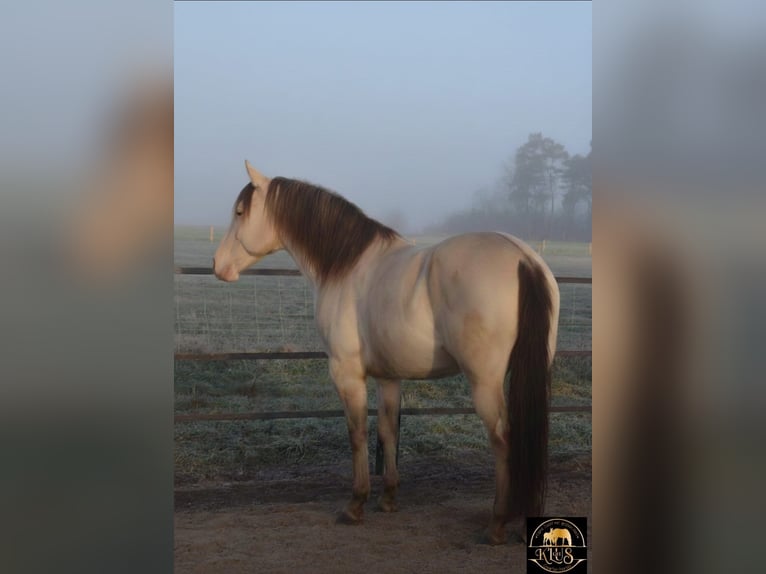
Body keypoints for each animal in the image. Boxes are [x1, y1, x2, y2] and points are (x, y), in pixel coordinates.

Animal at [213, 161, 560, 545]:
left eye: (240, 212)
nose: (218, 265)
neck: (346, 267)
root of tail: (524, 259)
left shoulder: (347, 374)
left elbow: (357, 434)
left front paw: (355, 504)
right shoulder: (388, 377)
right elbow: (387, 431)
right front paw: (389, 498)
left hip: (484, 382)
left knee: (502, 439)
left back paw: (497, 523)